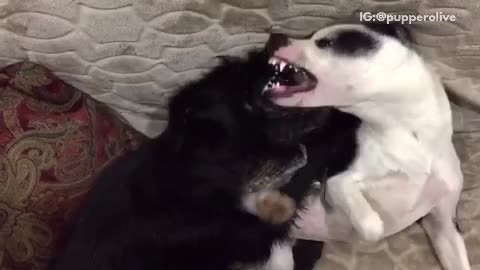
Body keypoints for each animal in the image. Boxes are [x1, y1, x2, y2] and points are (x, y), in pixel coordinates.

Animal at [262, 23, 468, 270]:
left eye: (326, 43)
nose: (274, 36)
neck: (409, 135)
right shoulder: (338, 182)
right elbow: (372, 227)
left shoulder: (445, 226)